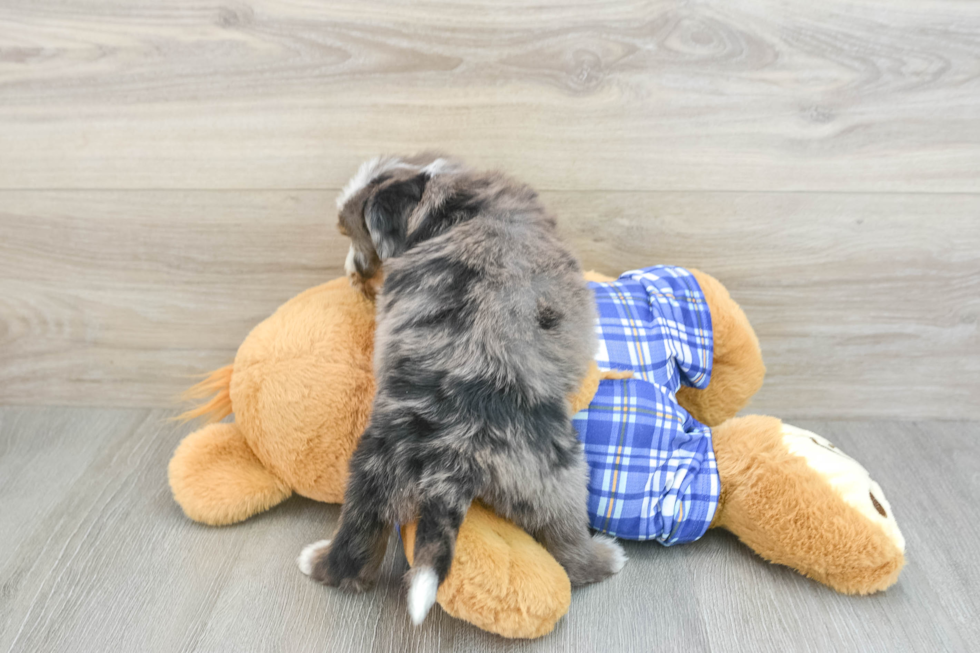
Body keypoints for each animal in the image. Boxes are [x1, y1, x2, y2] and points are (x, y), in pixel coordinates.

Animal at [294, 152, 624, 620]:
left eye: (355, 236)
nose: (351, 274)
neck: (444, 198)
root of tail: (449, 450)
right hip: (557, 474)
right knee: (567, 544)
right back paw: (605, 558)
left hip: (368, 475)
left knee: (354, 546)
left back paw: (318, 561)